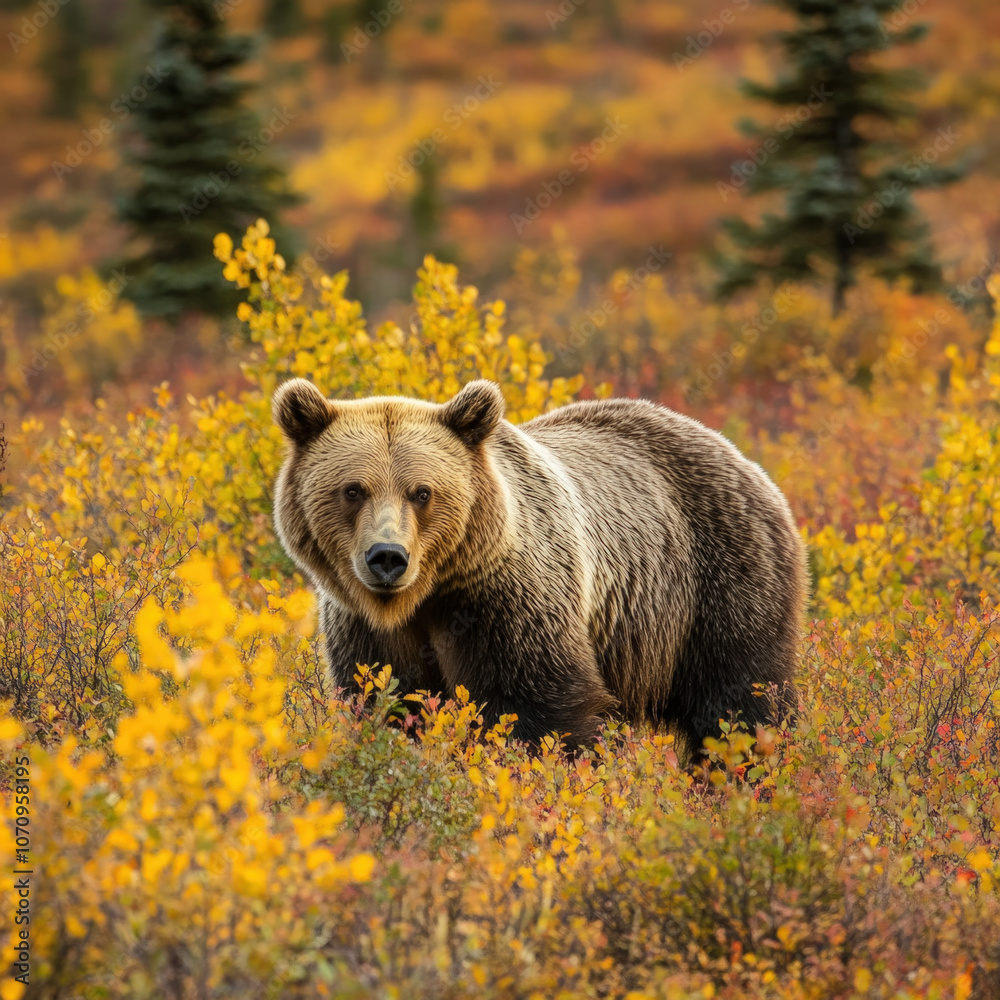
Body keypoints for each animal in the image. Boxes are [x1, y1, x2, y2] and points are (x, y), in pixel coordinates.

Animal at [271, 377, 806, 753]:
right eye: (353, 489)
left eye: (421, 492)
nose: (387, 557)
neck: (427, 595)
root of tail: (741, 457)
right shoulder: (365, 628)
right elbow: (389, 702)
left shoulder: (507, 599)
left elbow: (538, 711)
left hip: (720, 579)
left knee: (740, 701)